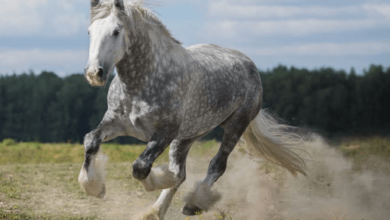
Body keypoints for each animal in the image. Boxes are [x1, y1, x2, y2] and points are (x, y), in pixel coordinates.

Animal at [78, 0, 304, 219]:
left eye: (116, 31)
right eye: (90, 32)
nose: (94, 73)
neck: (144, 81)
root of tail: (250, 65)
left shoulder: (165, 133)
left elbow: (141, 167)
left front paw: (160, 179)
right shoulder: (116, 122)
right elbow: (91, 141)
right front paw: (95, 188)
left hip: (235, 125)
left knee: (217, 165)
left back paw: (193, 204)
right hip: (188, 136)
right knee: (181, 172)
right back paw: (153, 212)